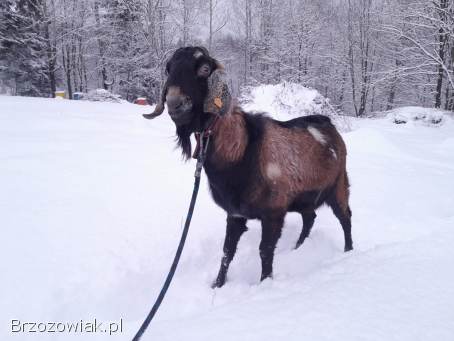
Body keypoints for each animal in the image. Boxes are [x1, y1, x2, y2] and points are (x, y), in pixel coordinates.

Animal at [144, 45, 352, 286]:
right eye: (169, 68)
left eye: (204, 69)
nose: (175, 103)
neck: (241, 151)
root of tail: (329, 124)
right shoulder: (235, 213)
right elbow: (227, 251)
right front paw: (217, 285)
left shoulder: (273, 212)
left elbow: (265, 251)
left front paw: (264, 283)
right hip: (305, 197)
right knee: (310, 218)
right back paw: (297, 248)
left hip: (338, 185)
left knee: (345, 216)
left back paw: (349, 251)